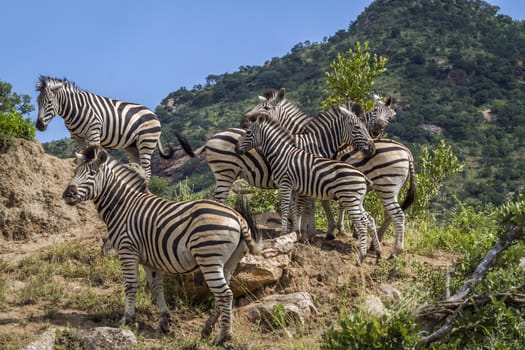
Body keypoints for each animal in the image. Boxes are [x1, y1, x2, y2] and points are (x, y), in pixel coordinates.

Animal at [35, 76, 194, 178]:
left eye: (49, 102)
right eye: (37, 102)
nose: (39, 125)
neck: (75, 109)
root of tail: (153, 114)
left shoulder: (94, 130)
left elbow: (93, 155)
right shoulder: (75, 136)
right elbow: (79, 157)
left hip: (146, 142)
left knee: (148, 171)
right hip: (132, 146)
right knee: (139, 168)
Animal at [63, 146, 260, 344]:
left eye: (92, 173)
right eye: (74, 172)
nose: (67, 194)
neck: (123, 206)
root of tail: (238, 217)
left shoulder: (127, 250)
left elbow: (130, 285)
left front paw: (127, 319)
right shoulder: (149, 259)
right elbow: (156, 287)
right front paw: (164, 321)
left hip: (209, 258)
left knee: (225, 295)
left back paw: (223, 337)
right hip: (229, 263)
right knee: (223, 294)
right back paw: (207, 329)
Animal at [235, 113, 378, 264]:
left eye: (248, 132)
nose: (236, 148)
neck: (282, 154)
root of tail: (363, 176)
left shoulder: (285, 184)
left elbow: (286, 208)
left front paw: (284, 233)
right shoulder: (294, 188)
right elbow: (294, 209)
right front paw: (296, 233)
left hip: (349, 199)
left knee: (362, 224)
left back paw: (361, 257)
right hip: (356, 200)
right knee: (368, 220)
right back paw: (377, 254)